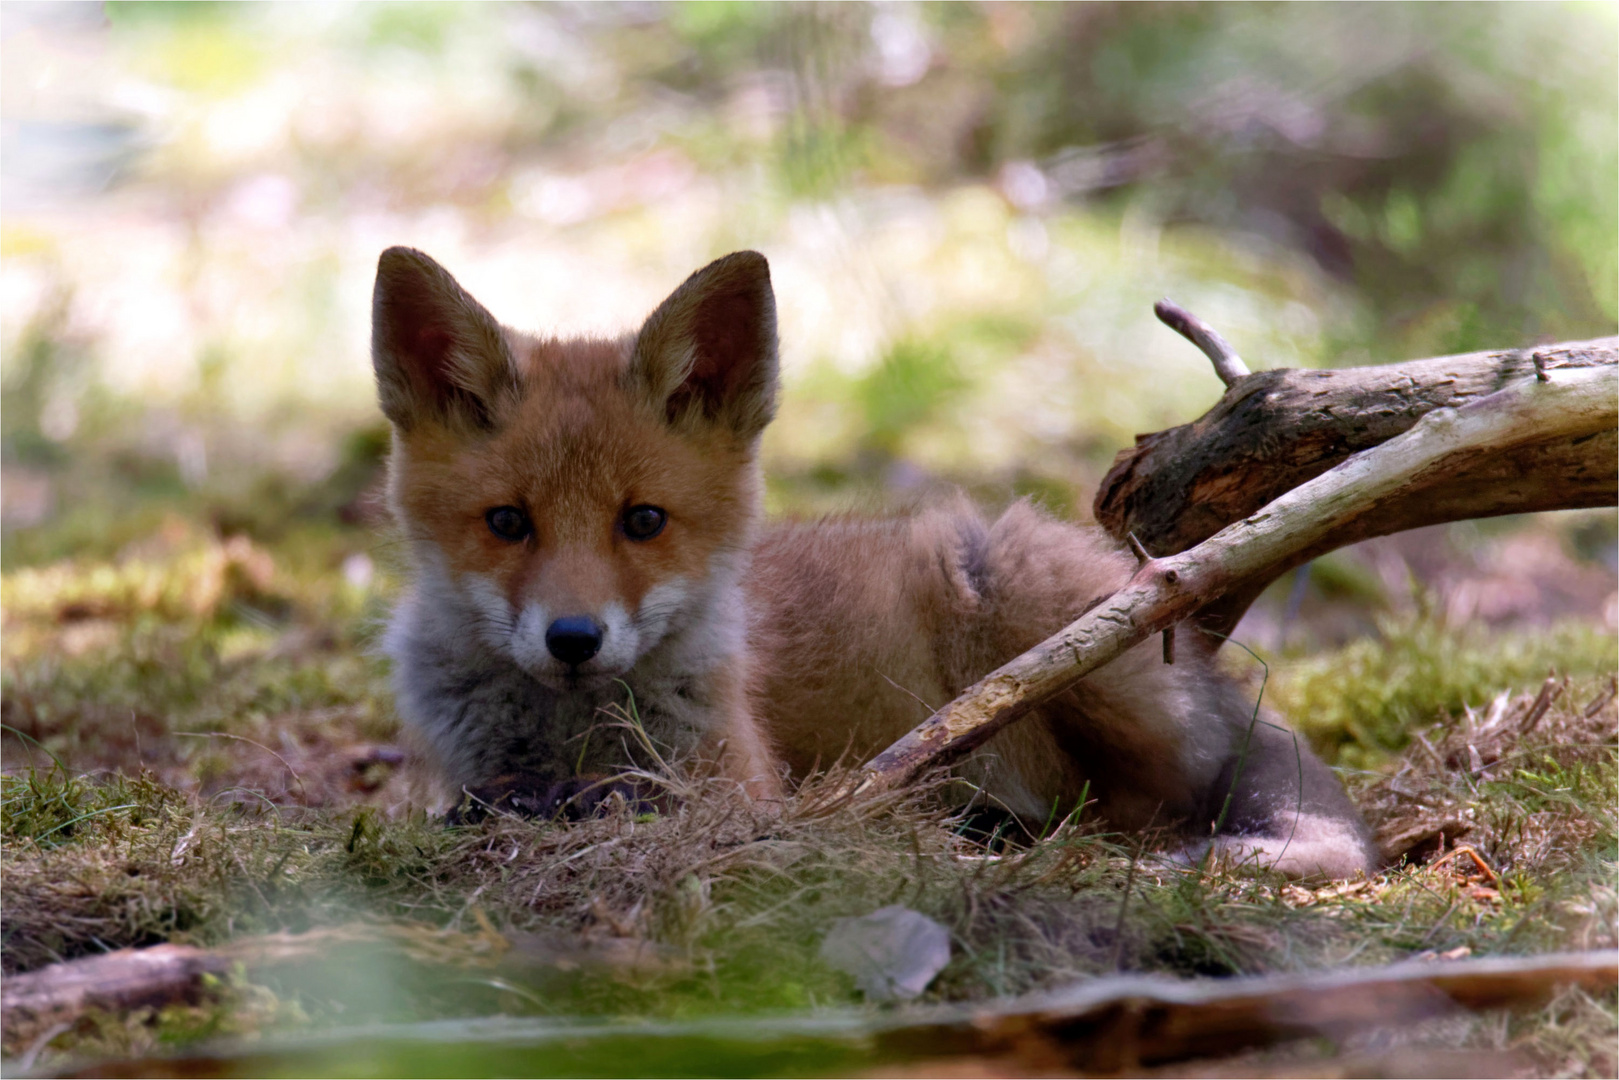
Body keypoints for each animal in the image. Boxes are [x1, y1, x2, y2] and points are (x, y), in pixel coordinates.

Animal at [372, 249, 1372, 880]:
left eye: (643, 521)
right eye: (508, 522)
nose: (573, 639)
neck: (571, 733)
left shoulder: (738, 787)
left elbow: (636, 800)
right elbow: (499, 797)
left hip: (1035, 622)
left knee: (1136, 806)